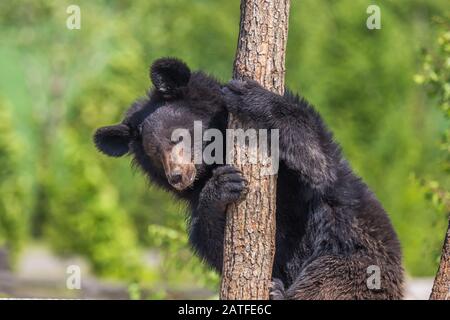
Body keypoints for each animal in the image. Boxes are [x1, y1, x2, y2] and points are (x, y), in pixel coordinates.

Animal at [94, 57, 404, 300]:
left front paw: (248, 96)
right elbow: (214, 243)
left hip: (362, 261)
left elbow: (316, 162)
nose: (177, 177)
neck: (215, 158)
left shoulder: (307, 185)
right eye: (154, 155)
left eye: (176, 137)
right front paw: (222, 187)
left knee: (330, 279)